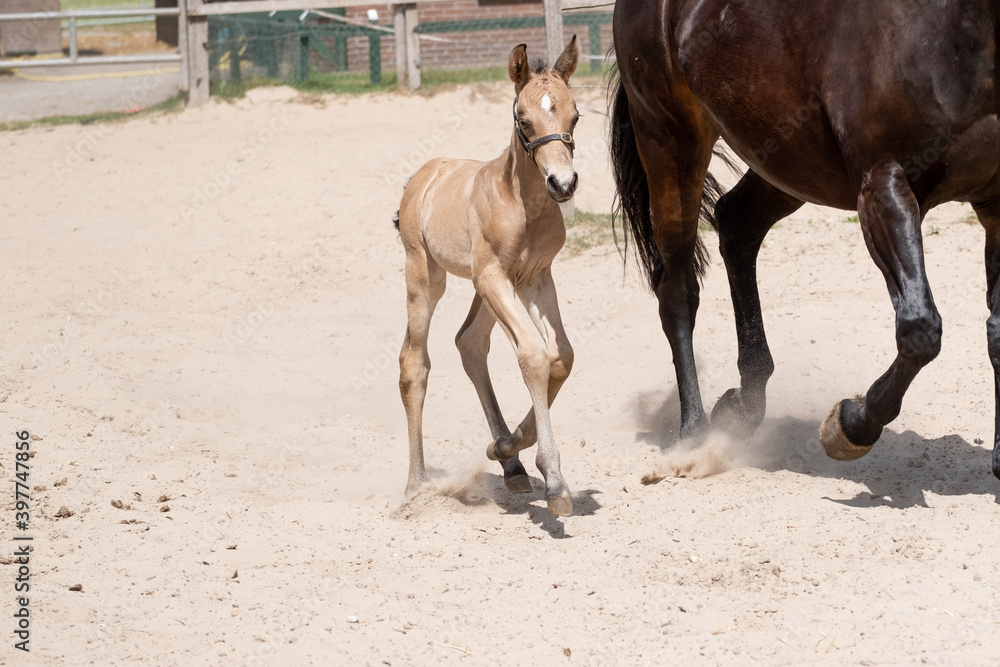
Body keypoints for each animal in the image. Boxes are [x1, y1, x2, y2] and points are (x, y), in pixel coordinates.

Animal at [396, 38, 581, 515]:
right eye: (524, 119)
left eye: (575, 115)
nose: (563, 184)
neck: (521, 201)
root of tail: (423, 174)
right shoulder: (495, 275)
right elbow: (534, 355)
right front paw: (555, 481)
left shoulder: (536, 277)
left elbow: (561, 356)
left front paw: (510, 447)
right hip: (427, 275)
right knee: (414, 363)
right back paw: (415, 485)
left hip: (490, 287)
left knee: (469, 343)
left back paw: (510, 463)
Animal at [610, 0, 1000, 476]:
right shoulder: (884, 187)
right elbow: (919, 328)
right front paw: (850, 424)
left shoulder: (996, 207)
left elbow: (995, 333)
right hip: (671, 142)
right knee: (678, 287)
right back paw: (694, 436)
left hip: (785, 158)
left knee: (736, 225)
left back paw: (744, 405)